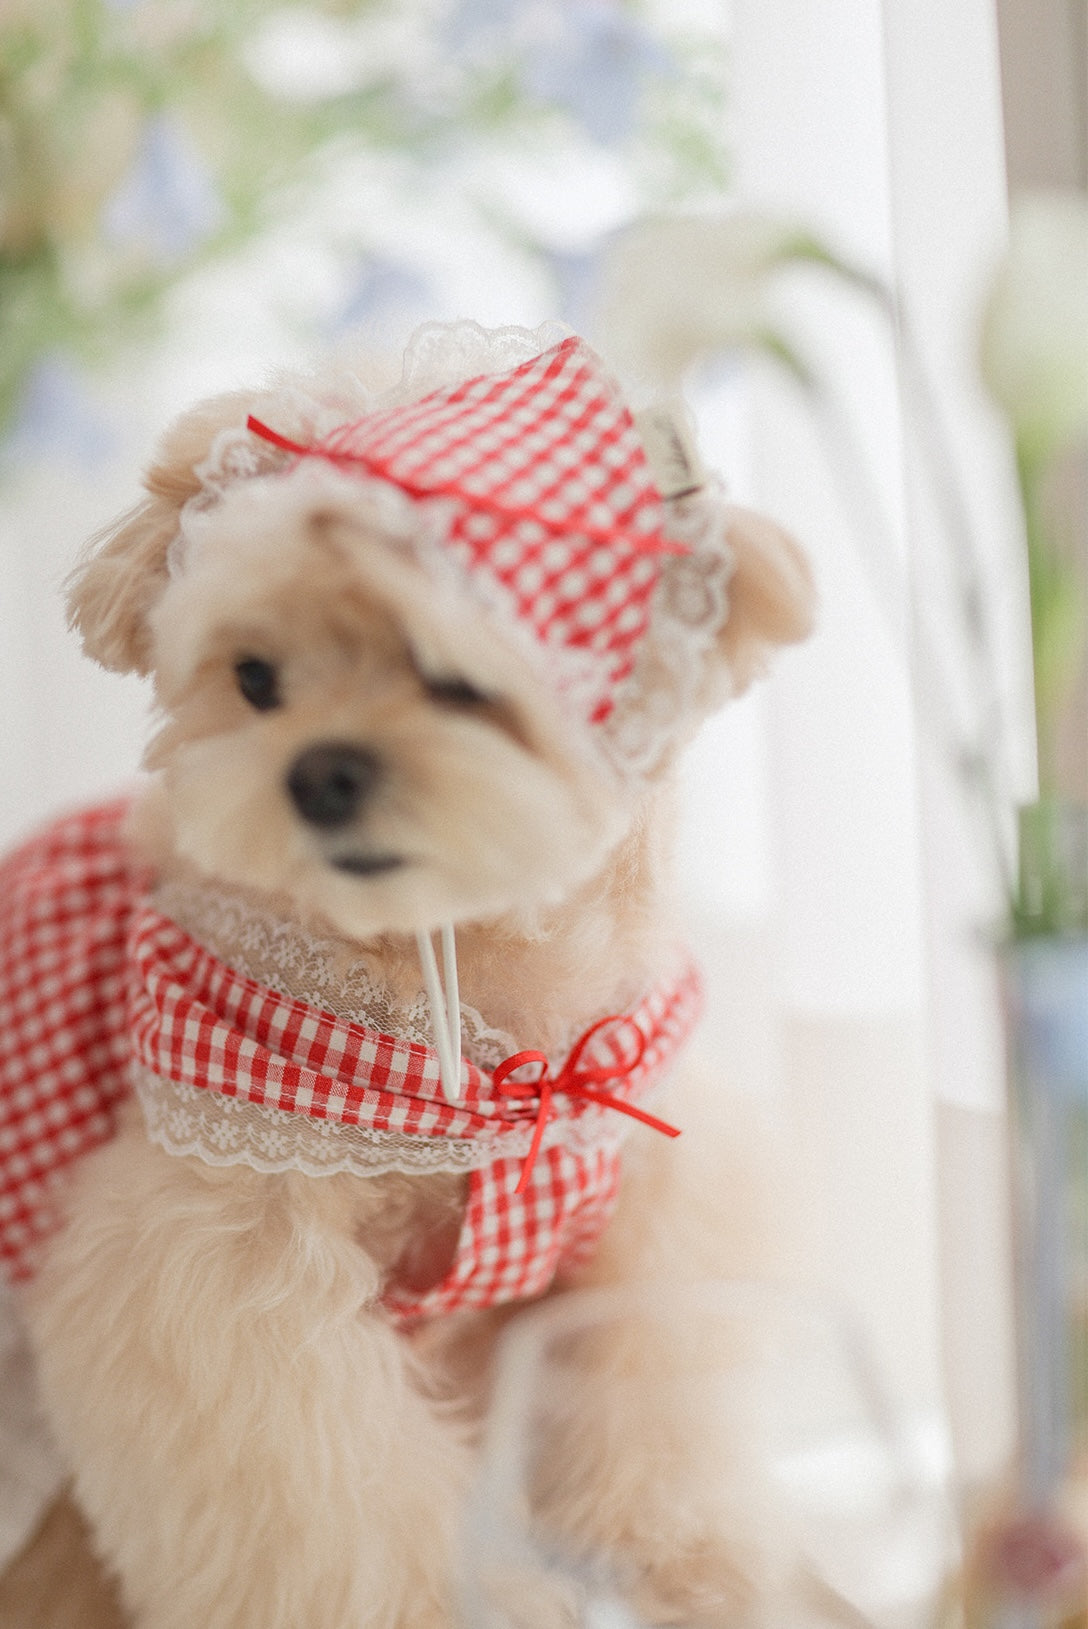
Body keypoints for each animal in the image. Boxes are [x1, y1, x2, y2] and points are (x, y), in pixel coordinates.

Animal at [0, 320, 811, 1629]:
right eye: (255, 678)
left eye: (458, 674)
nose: (320, 772)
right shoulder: (226, 1274)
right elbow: (338, 1520)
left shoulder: (645, 1202)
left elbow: (649, 1414)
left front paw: (680, 1559)